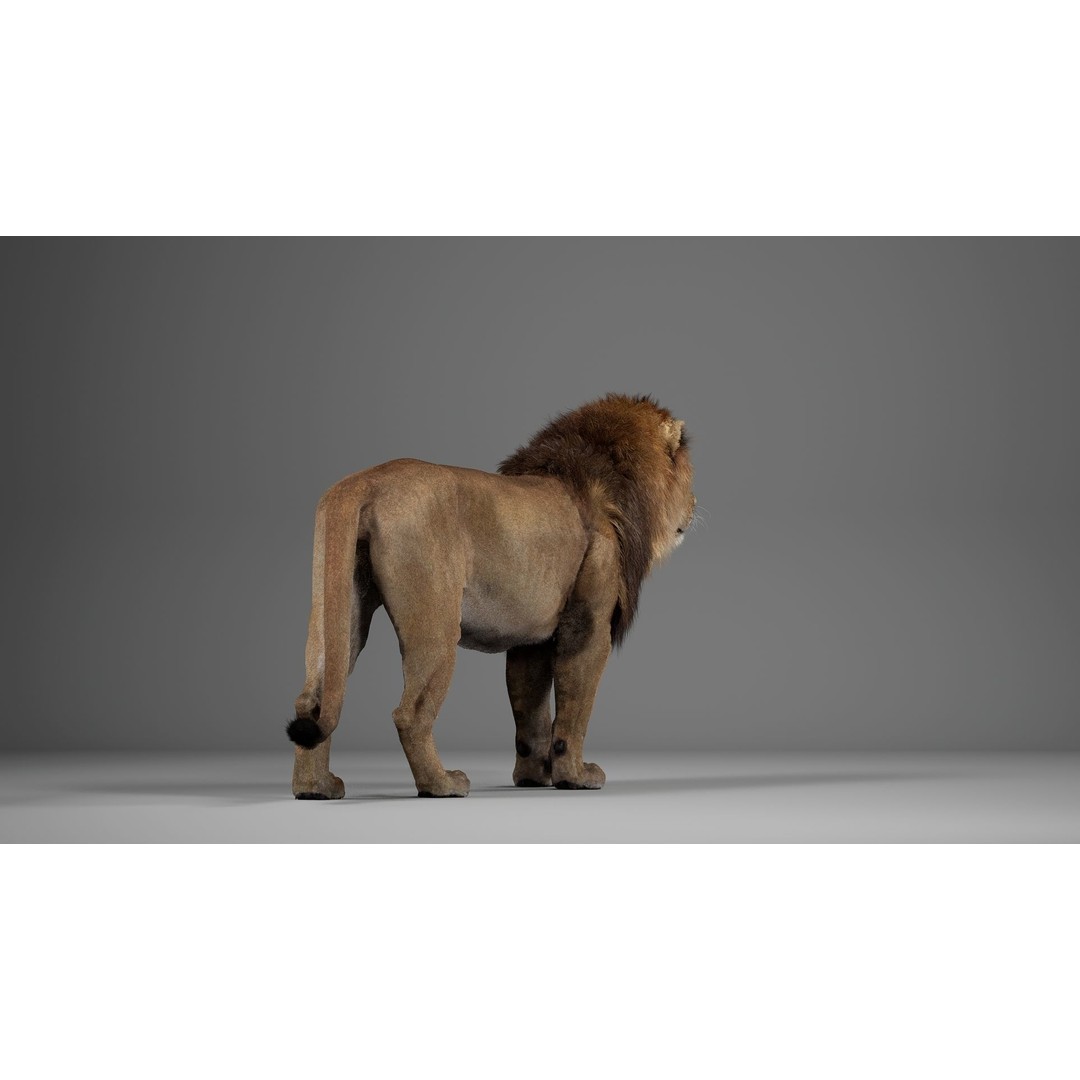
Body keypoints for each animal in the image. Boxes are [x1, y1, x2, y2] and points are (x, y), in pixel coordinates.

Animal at [286, 393, 695, 798]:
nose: (695, 506)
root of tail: (365, 483)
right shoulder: (588, 627)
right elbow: (573, 712)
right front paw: (575, 777)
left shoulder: (532, 639)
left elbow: (531, 714)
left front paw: (533, 778)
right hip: (436, 626)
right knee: (410, 713)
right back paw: (442, 784)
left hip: (337, 611)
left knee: (312, 700)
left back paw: (317, 788)